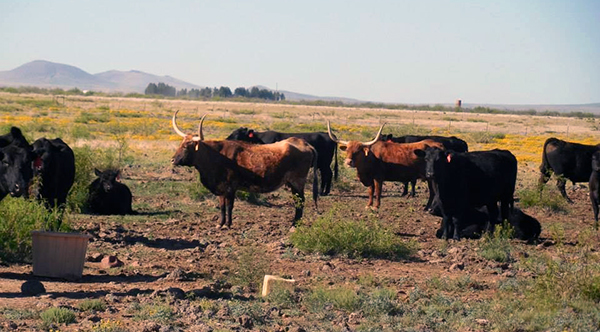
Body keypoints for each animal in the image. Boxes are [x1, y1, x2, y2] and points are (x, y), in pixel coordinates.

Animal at [171, 111, 318, 228]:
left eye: (186, 146)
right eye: (180, 144)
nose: (173, 160)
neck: (216, 155)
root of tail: (304, 144)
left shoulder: (230, 188)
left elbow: (229, 206)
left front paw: (228, 224)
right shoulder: (221, 188)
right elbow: (222, 206)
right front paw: (221, 223)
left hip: (297, 182)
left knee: (300, 201)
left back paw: (295, 224)